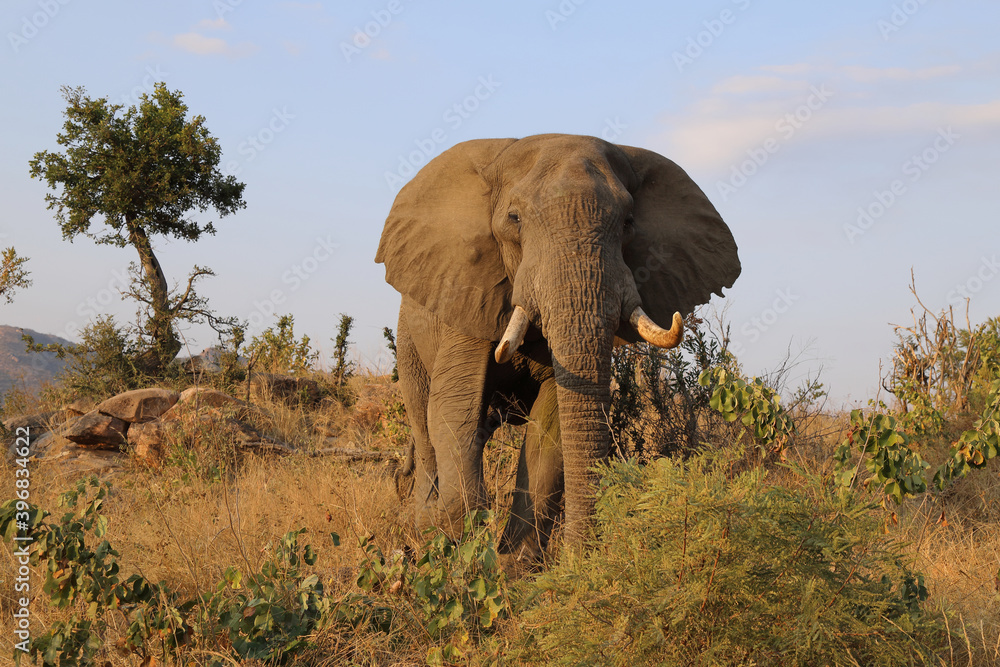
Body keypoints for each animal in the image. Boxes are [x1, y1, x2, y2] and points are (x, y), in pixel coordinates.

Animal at [375, 133, 740, 555]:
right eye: (514, 219)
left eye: (629, 223)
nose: (584, 553)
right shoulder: (466, 294)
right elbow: (454, 406)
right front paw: (448, 530)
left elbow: (550, 428)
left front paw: (515, 565)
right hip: (409, 339)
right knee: (425, 421)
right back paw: (422, 530)